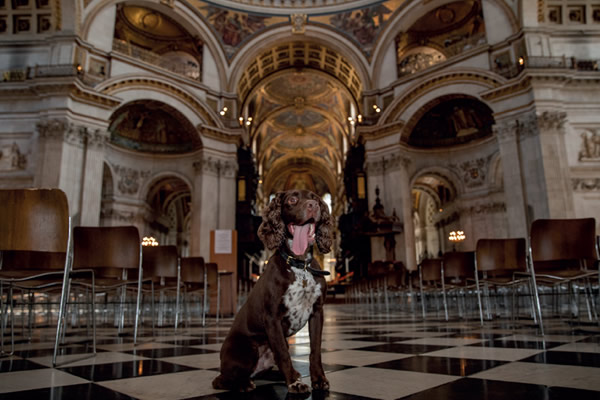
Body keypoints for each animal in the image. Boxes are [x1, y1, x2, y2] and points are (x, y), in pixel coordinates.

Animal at [212, 190, 332, 394]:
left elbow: (315, 350)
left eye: (315, 198)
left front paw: (318, 379)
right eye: (292, 199)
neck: (299, 265)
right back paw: (244, 384)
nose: (313, 206)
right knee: (222, 379)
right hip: (246, 350)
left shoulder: (317, 313)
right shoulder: (272, 318)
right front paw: (294, 384)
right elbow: (283, 353)